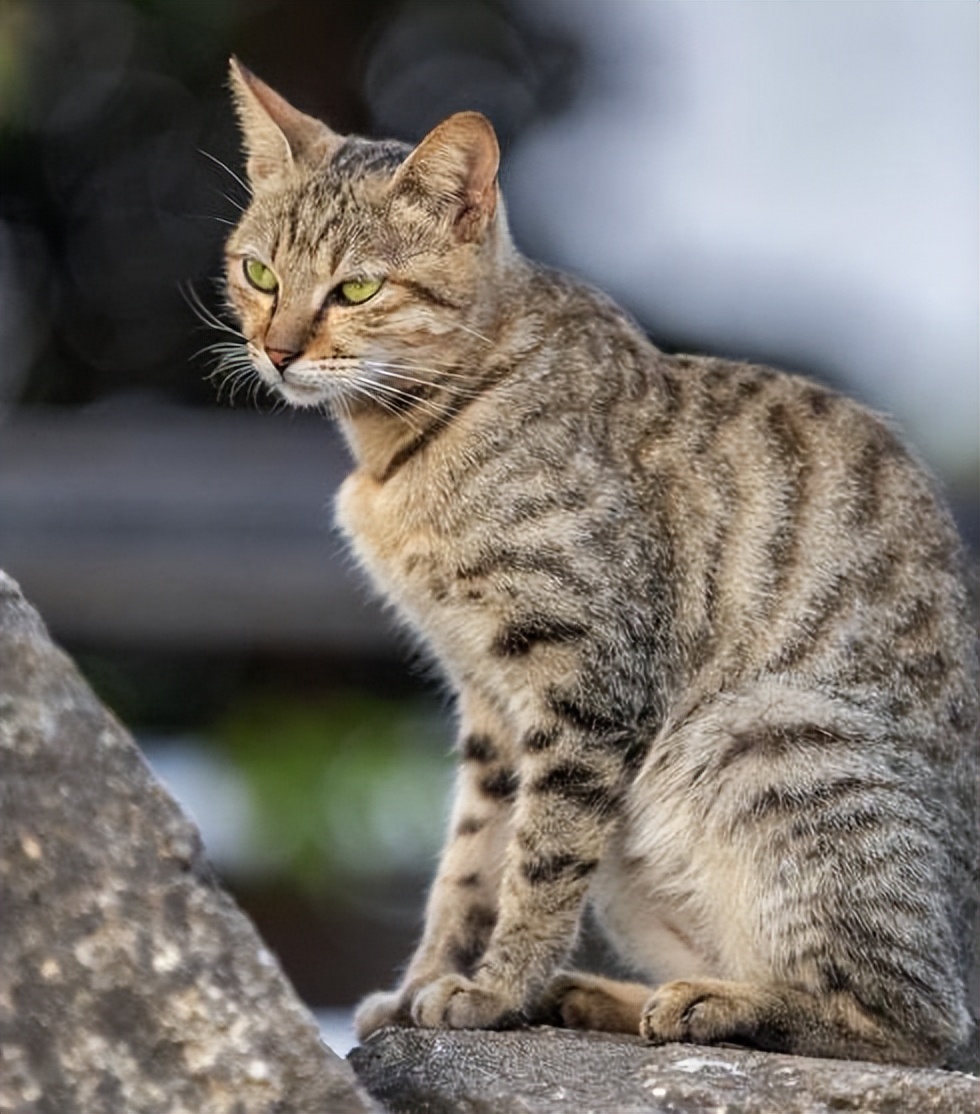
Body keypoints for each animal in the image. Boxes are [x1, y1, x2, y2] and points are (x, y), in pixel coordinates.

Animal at [221, 60, 980, 1069]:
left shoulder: (587, 680)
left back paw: (710, 1005)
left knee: (915, 1023)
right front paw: (428, 984)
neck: (399, 451)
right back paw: (606, 996)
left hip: (764, 734)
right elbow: (472, 862)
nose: (277, 350)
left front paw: (495, 990)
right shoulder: (491, 706)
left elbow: (539, 860)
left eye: (356, 290)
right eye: (259, 272)